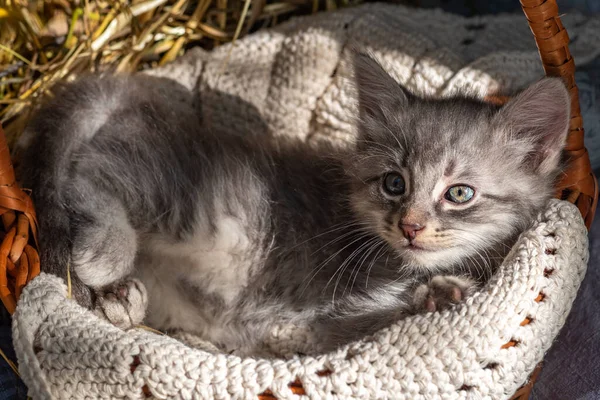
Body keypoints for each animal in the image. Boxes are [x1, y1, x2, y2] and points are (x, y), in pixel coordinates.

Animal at [18, 54, 568, 356]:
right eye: (394, 183)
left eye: (459, 194)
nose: (410, 226)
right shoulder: (327, 316)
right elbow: (374, 319)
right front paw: (437, 294)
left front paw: (440, 291)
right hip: (208, 208)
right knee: (91, 173)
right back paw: (104, 257)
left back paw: (123, 301)